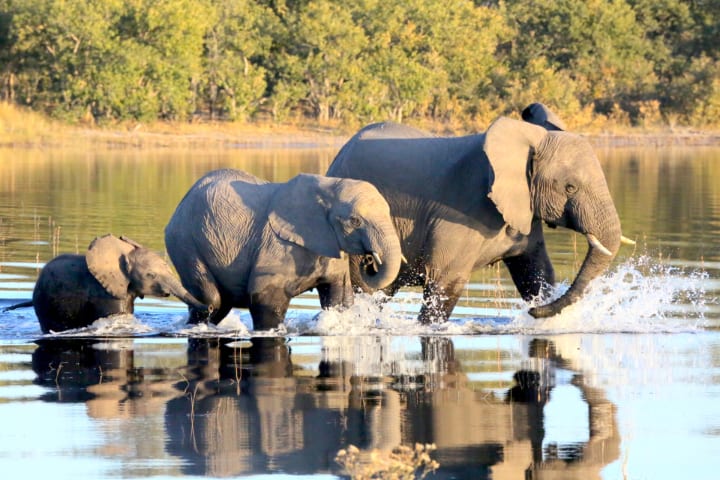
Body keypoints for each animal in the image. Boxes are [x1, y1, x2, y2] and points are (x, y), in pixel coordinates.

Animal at [164, 169, 402, 330]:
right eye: (355, 221)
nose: (369, 260)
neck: (328, 187)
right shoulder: (277, 246)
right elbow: (266, 298)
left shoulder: (332, 247)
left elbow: (338, 296)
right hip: (184, 242)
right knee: (212, 299)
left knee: (219, 303)